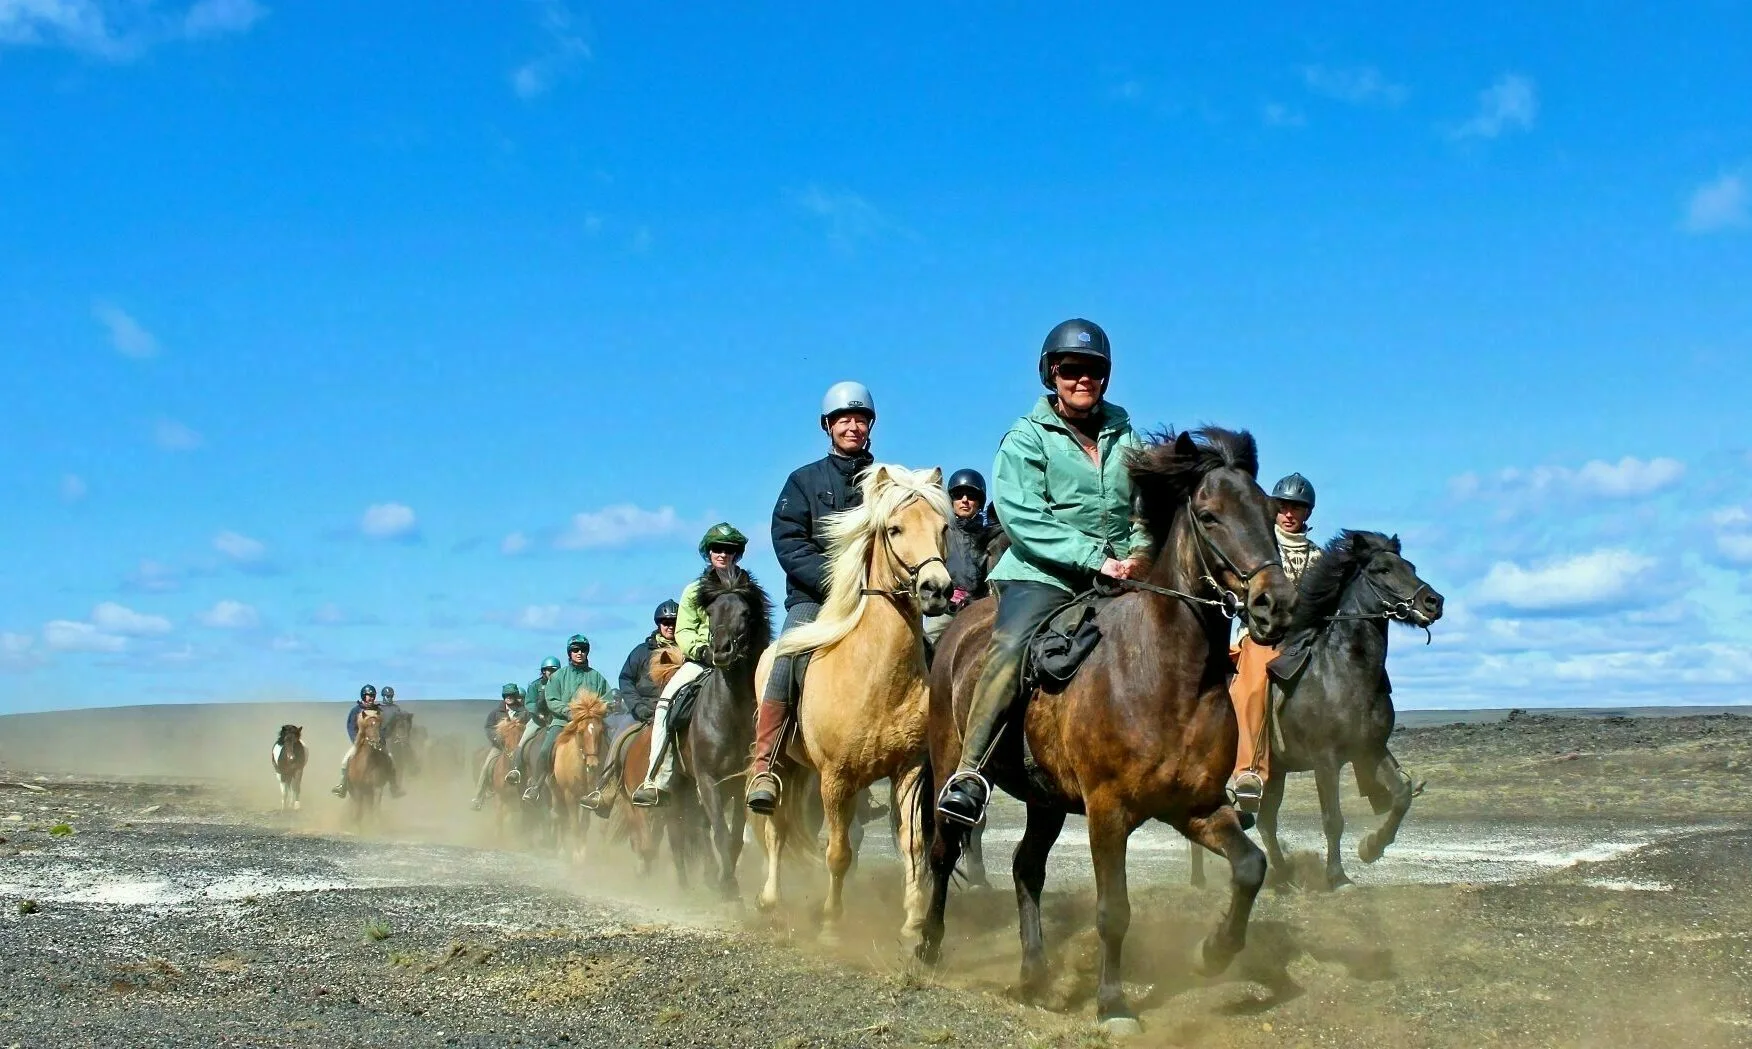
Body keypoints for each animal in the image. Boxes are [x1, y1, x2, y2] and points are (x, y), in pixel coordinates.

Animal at [550, 689, 613, 861]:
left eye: (601, 731)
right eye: (580, 731)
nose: (593, 765)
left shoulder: (588, 797)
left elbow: (584, 825)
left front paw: (583, 854)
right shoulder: (569, 795)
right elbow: (574, 825)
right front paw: (576, 856)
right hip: (557, 793)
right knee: (560, 817)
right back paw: (561, 850)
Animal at [749, 465, 953, 945]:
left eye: (943, 528)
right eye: (894, 529)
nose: (936, 589)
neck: (877, 676)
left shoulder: (908, 772)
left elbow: (911, 845)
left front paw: (912, 923)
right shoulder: (835, 779)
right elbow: (838, 852)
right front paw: (830, 924)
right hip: (784, 765)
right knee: (775, 828)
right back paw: (770, 899)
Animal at [918, 427, 1303, 1036]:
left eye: (1270, 513)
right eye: (1209, 515)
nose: (1276, 606)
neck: (1165, 674)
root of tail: (956, 634)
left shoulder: (1194, 807)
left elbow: (1250, 867)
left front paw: (1212, 953)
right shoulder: (1107, 811)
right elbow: (1113, 911)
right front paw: (1114, 1005)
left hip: (1046, 801)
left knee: (1025, 868)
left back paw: (1035, 974)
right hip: (948, 768)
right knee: (941, 849)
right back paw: (929, 947)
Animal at [1191, 528, 1450, 889]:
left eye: (1410, 566)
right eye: (1382, 569)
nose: (1433, 602)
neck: (1339, 672)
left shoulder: (1369, 749)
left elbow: (1401, 794)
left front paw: (1371, 847)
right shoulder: (1325, 759)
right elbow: (1333, 819)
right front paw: (1337, 877)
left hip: (1275, 773)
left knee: (1266, 822)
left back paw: (1282, 878)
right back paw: (1201, 880)